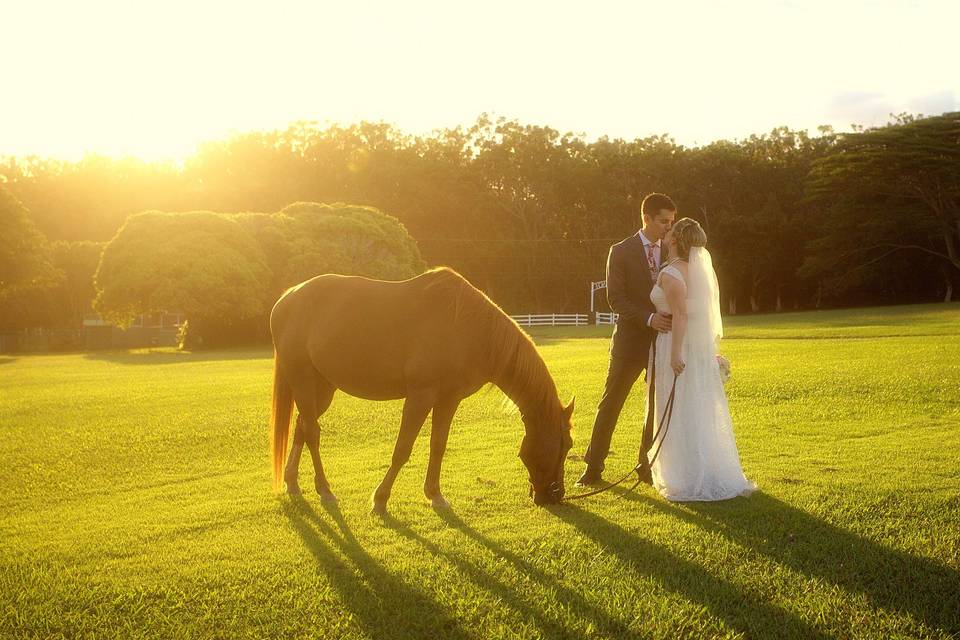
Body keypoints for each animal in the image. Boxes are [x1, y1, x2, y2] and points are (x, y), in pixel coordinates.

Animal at [266, 264, 572, 510]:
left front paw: (435, 495)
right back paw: (325, 490)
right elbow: (403, 449)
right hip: (303, 380)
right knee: (313, 433)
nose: (555, 495)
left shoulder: (449, 399)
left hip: (322, 388)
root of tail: (287, 298)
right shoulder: (420, 397)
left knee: (302, 426)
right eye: (565, 445)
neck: (471, 329)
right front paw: (380, 499)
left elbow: (438, 445)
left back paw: (292, 482)